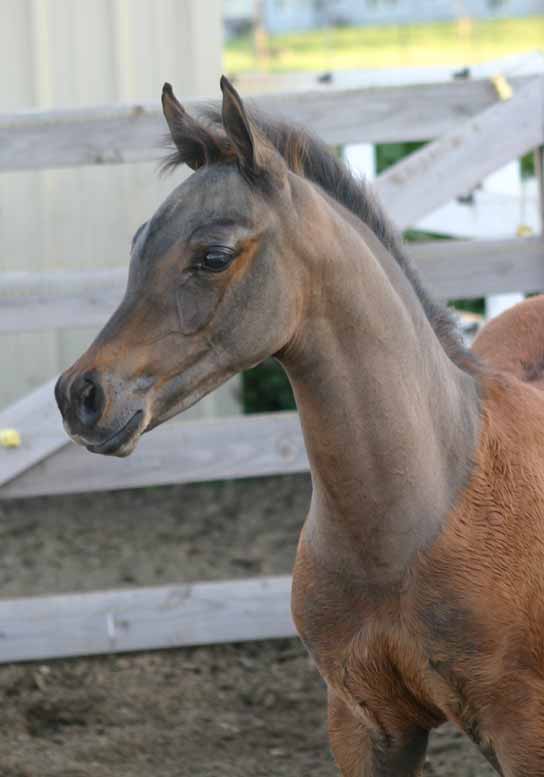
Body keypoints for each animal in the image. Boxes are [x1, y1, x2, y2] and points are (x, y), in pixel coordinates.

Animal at [55, 76, 544, 772]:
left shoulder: (524, 731)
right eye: (137, 245)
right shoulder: (365, 724)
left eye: (214, 255)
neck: (398, 540)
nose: (81, 396)